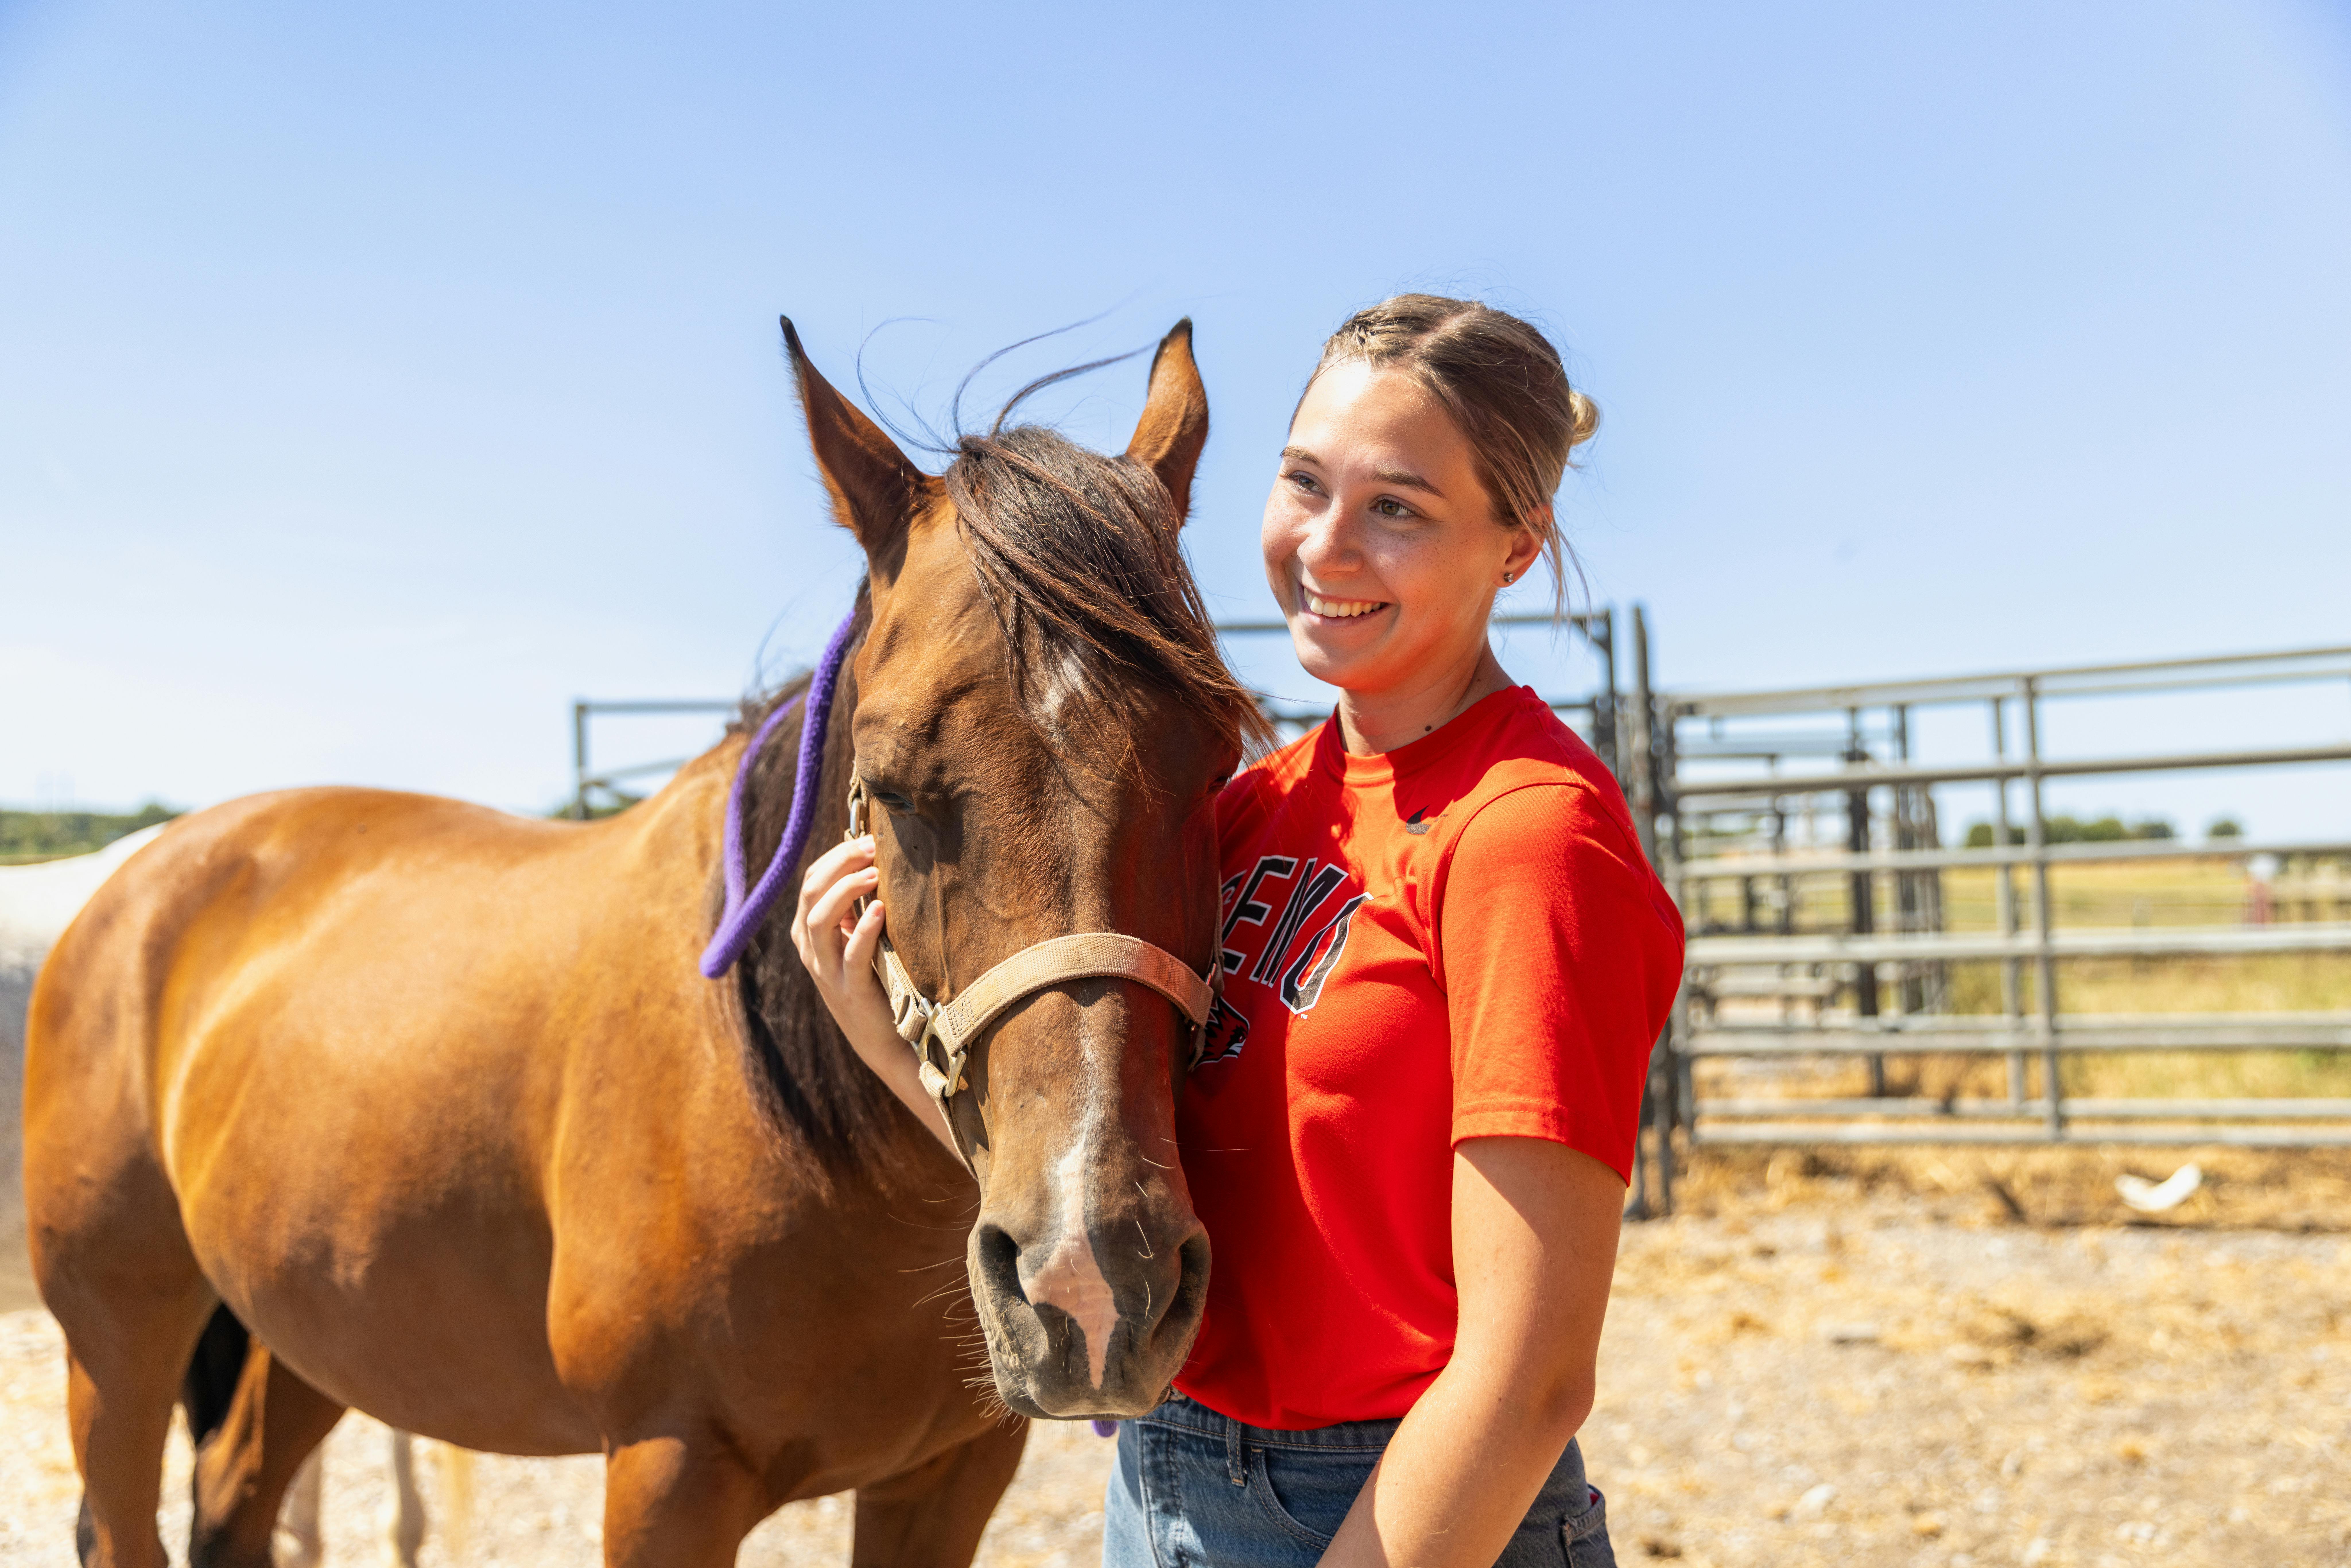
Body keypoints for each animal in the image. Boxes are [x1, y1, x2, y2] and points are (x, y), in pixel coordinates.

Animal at [26, 315, 1261, 1568]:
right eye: (890, 782)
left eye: (1216, 764)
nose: (1093, 1273)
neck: (787, 1111)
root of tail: (141, 872)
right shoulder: (668, 1473)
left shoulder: (950, 1477)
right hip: (118, 1344)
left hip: (310, 1320)